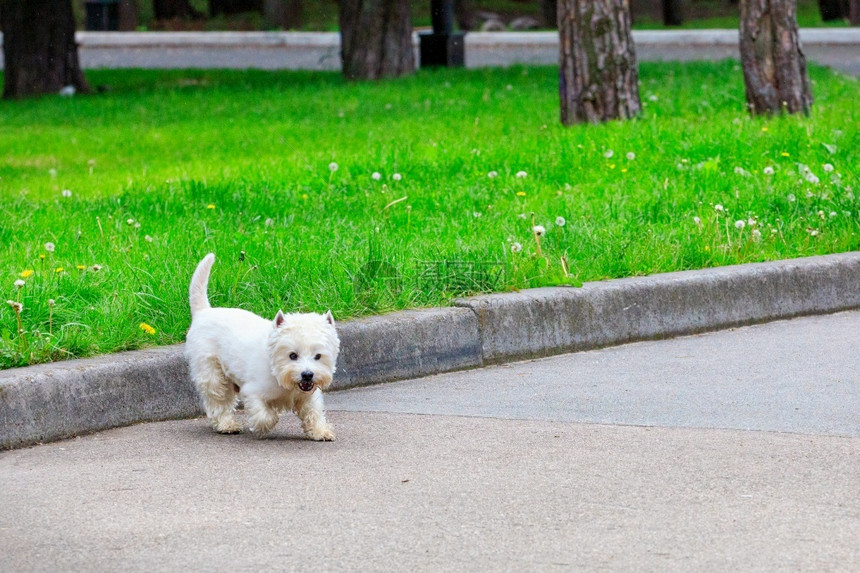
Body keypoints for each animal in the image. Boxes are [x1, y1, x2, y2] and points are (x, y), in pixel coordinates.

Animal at [185, 252, 340, 440]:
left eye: (318, 356)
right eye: (292, 355)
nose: (307, 375)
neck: (279, 375)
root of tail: (204, 311)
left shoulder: (309, 396)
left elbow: (314, 412)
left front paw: (320, 431)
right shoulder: (252, 391)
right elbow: (264, 415)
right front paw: (265, 424)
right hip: (212, 371)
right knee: (218, 400)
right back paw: (227, 425)